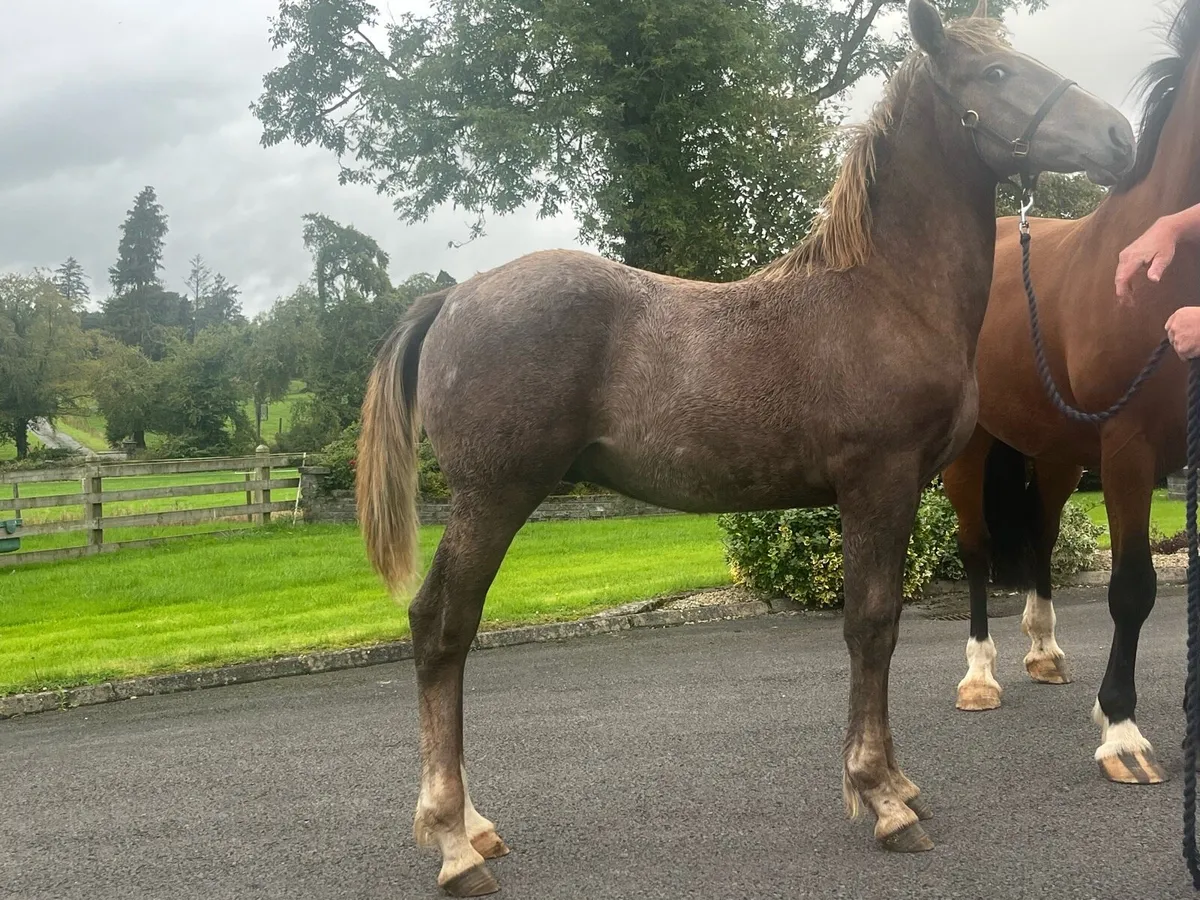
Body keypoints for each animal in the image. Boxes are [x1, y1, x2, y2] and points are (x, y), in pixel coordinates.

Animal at [354, 1, 1134, 893]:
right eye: (996, 74)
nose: (1120, 135)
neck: (885, 294)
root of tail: (454, 299)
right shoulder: (878, 483)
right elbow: (872, 625)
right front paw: (882, 798)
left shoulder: (897, 491)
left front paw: (896, 783)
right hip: (494, 497)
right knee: (442, 627)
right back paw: (454, 842)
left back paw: (475, 828)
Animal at [944, 0, 1200, 788]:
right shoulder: (1129, 449)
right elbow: (1133, 588)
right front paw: (1121, 731)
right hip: (971, 451)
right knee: (977, 549)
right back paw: (981, 676)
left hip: (1057, 454)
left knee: (1041, 537)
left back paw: (1045, 651)